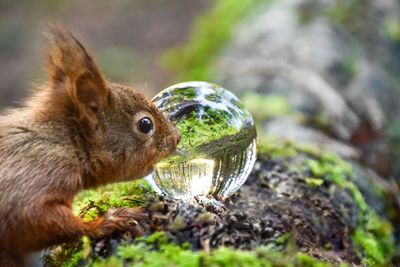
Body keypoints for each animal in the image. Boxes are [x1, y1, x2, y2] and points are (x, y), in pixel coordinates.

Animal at [0, 24, 180, 266]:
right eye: (145, 124)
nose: (177, 137)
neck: (66, 142)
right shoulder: (35, 175)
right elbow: (30, 218)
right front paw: (106, 222)